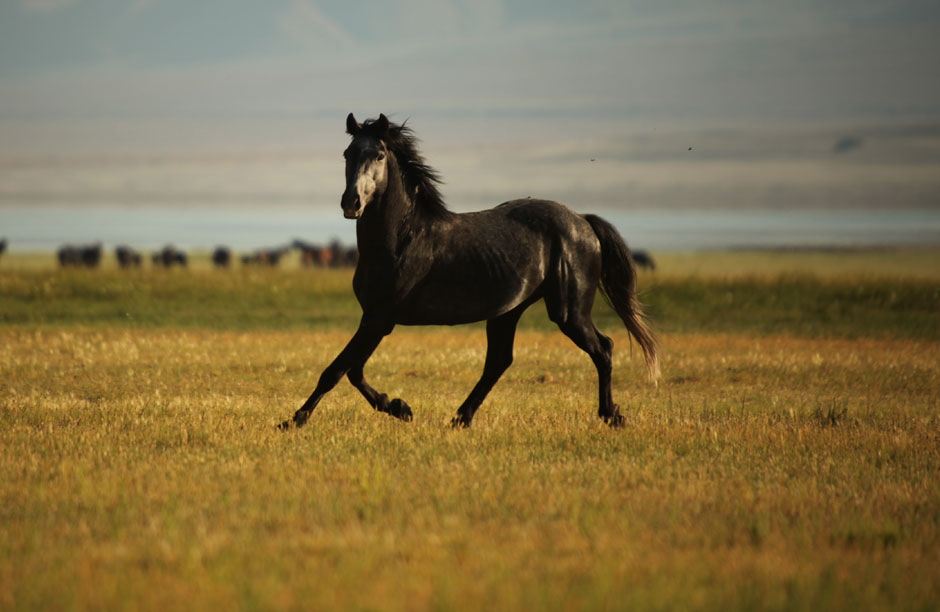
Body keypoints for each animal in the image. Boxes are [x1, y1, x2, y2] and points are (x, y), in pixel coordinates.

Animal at [282, 115, 656, 430]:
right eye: (348, 153)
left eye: (378, 155)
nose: (351, 203)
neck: (402, 238)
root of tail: (583, 222)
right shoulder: (376, 319)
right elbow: (353, 371)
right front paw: (400, 407)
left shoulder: (378, 318)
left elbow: (337, 370)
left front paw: (294, 420)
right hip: (508, 311)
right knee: (499, 362)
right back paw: (460, 418)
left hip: (568, 311)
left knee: (603, 348)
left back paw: (612, 416)